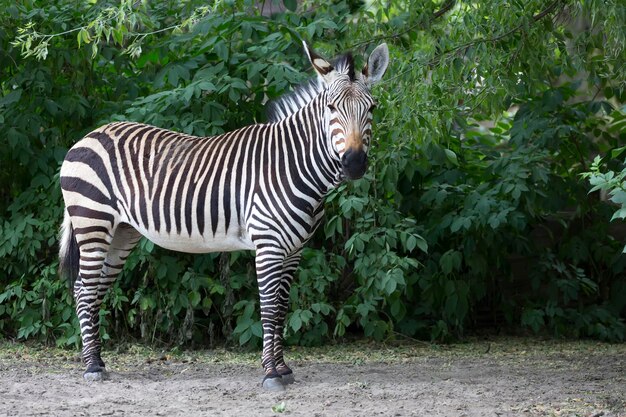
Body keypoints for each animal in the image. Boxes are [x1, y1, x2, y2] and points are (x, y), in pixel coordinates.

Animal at [59, 40, 390, 388]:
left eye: (372, 108)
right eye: (331, 109)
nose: (354, 164)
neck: (291, 164)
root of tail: (88, 136)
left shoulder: (294, 250)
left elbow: (282, 308)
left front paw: (283, 368)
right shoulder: (269, 245)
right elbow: (269, 309)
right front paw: (271, 373)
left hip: (122, 233)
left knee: (91, 289)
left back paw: (97, 361)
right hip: (92, 223)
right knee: (84, 289)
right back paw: (92, 366)